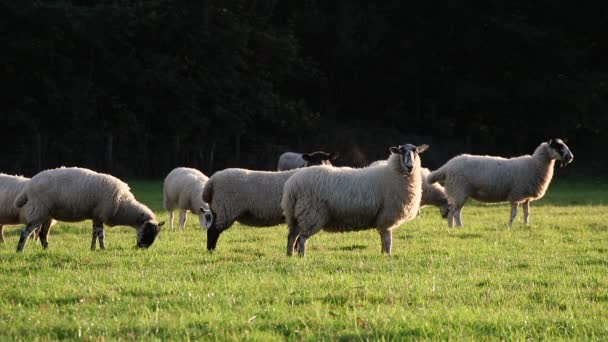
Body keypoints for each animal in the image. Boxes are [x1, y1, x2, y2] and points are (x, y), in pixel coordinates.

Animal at [14, 167, 165, 252]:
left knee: (42, 234)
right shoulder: (101, 214)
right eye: (148, 231)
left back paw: (47, 251)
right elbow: (101, 235)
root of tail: (27, 188)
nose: (141, 249)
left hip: (47, 215)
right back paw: (19, 251)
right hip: (39, 211)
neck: (123, 204)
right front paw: (103, 249)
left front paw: (93, 249)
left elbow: (94, 235)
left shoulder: (96, 216)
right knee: (25, 232)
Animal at [203, 152, 338, 251]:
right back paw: (211, 251)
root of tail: (211, 182)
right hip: (225, 209)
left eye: (327, 160)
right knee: (213, 231)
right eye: (312, 160)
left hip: (217, 210)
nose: (321, 167)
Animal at [280, 143, 428, 255]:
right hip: (310, 214)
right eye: (402, 152)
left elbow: (383, 240)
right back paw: (301, 257)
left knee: (291, 237)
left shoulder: (382, 218)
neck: (395, 174)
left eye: (416, 151)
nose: (410, 166)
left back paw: (290, 256)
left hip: (295, 215)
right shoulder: (386, 217)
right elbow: (387, 240)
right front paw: (387, 255)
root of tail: (292, 185)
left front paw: (383, 255)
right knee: (302, 239)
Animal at [428, 138, 576, 228]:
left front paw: (526, 226)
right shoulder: (516, 195)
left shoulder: (525, 197)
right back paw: (458, 227)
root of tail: (447, 166)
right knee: (454, 212)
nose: (571, 157)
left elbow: (527, 213)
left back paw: (453, 228)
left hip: (459, 192)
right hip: (459, 191)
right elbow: (514, 214)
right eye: (559, 147)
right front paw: (509, 226)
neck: (534, 165)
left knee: (453, 211)